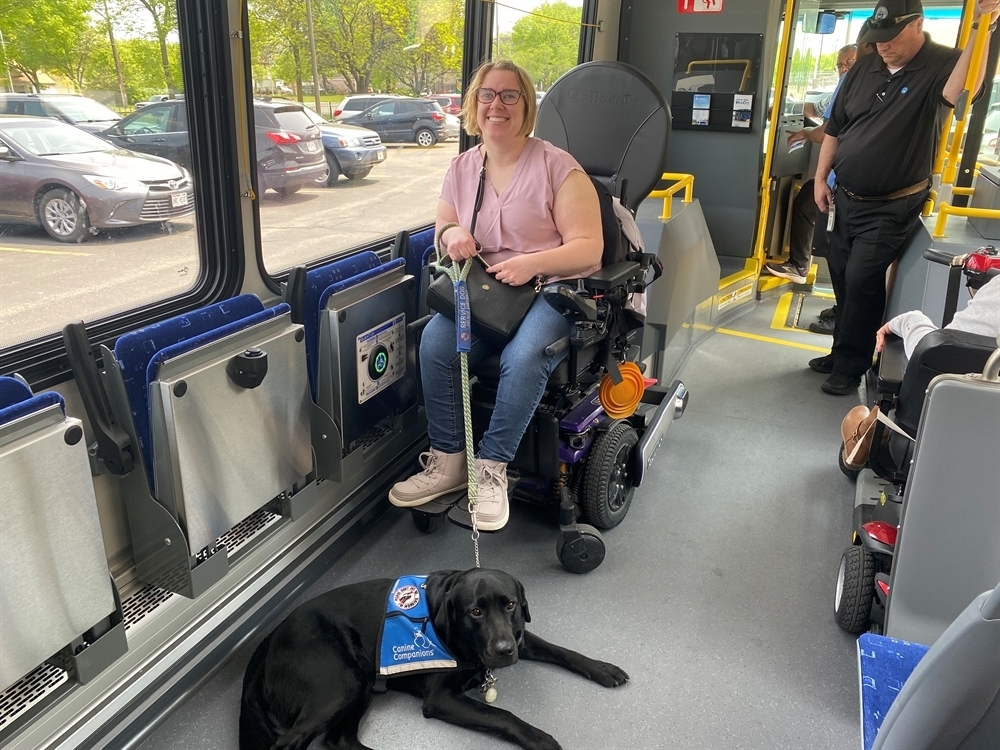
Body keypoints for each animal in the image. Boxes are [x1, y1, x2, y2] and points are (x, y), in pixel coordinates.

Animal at [240, 568, 624, 750]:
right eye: (475, 611)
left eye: (511, 605)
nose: (503, 651)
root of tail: (270, 637)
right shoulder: (441, 698)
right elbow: (503, 715)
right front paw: (540, 738)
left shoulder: (519, 636)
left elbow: (561, 651)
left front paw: (603, 668)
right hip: (341, 683)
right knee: (289, 742)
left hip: (359, 683)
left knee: (338, 740)